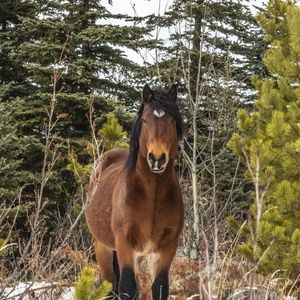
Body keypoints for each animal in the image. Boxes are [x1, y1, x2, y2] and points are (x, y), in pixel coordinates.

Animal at [85, 83, 185, 298]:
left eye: (172, 120)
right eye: (145, 119)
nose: (157, 159)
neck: (152, 197)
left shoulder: (167, 247)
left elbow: (159, 287)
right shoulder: (124, 243)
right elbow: (128, 288)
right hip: (103, 247)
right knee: (109, 284)